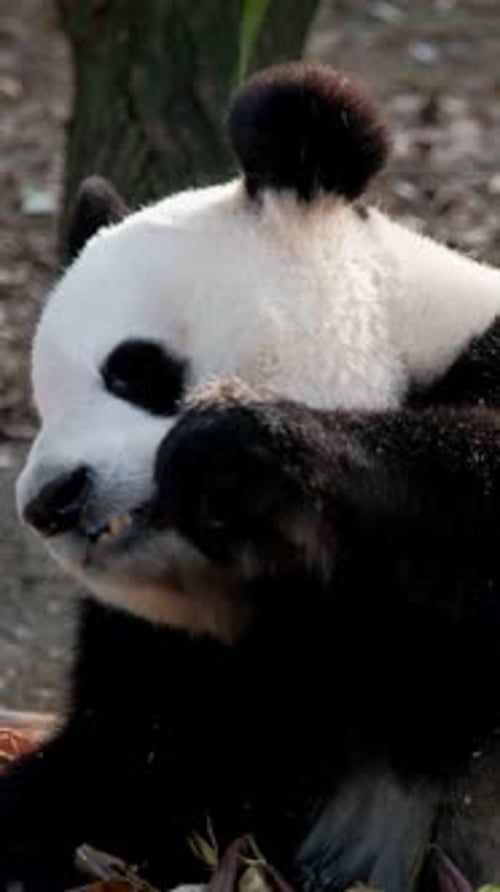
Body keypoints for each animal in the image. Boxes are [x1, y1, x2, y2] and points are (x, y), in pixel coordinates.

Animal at [2, 60, 500, 891]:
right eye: (43, 403)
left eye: (132, 368)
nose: (52, 500)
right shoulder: (186, 670)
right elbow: (116, 784)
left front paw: (236, 451)